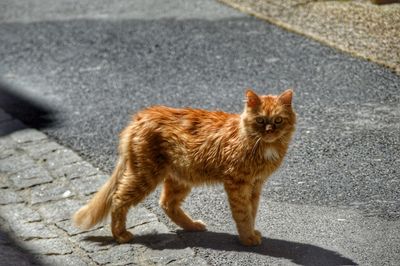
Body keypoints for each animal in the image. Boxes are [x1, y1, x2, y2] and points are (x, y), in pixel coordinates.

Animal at [73, 88, 296, 246]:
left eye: (278, 120)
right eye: (260, 120)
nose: (270, 130)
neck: (261, 146)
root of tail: (140, 116)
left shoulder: (256, 185)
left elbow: (252, 211)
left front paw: (252, 232)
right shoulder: (238, 183)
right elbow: (242, 214)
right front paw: (247, 238)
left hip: (180, 177)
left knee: (166, 203)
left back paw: (193, 226)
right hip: (146, 175)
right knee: (118, 198)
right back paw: (120, 235)